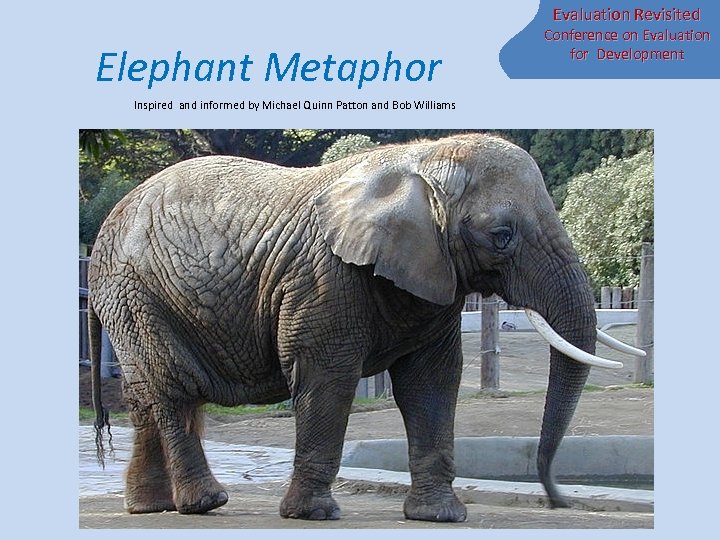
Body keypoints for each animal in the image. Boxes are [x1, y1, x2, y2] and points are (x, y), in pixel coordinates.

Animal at [87, 132, 643, 522]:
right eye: (501, 235)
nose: (556, 500)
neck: (422, 160)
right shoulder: (323, 278)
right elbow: (327, 376)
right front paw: (314, 515)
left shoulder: (433, 277)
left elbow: (431, 382)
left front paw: (440, 516)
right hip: (135, 291)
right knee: (175, 390)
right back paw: (205, 504)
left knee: (146, 396)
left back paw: (151, 508)